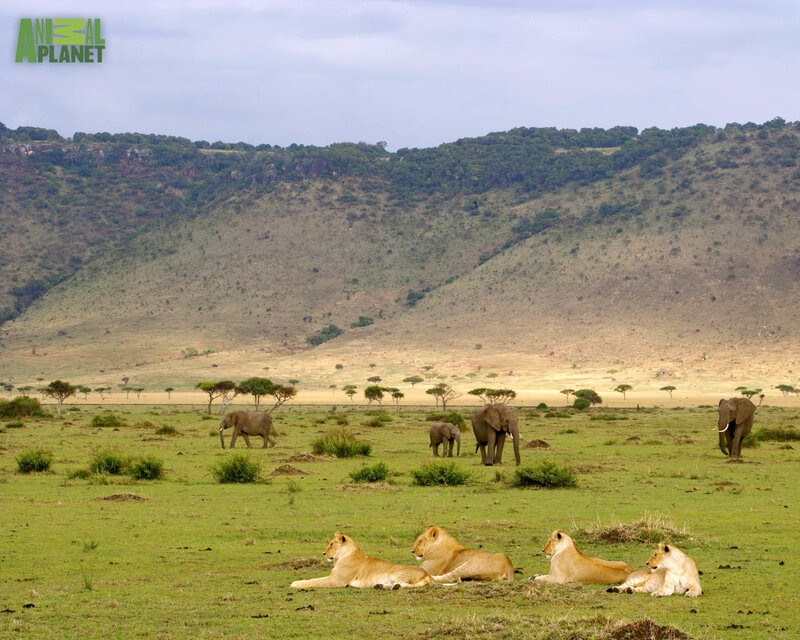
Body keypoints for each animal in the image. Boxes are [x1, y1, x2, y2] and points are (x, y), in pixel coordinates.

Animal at [290, 532, 432, 589]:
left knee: (404, 585)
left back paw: (392, 587)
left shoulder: (336, 580)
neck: (341, 556)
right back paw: (379, 586)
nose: (323, 553)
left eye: (331, 544)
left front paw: (295, 583)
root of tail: (427, 574)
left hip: (397, 574)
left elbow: (315, 581)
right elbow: (314, 579)